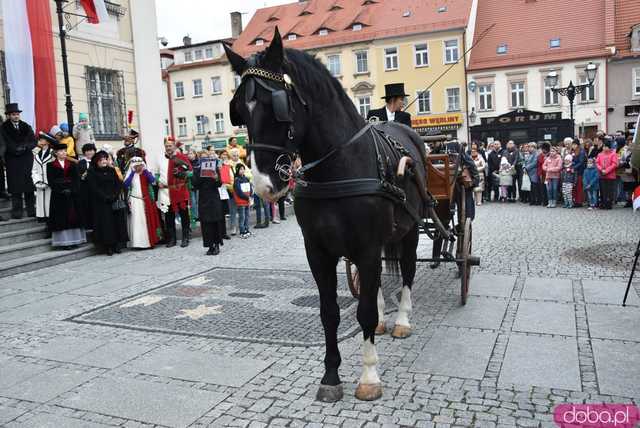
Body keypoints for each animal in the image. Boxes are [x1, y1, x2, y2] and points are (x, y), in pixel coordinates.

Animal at [225, 29, 430, 402]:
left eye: (277, 107)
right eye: (239, 112)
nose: (262, 184)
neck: (337, 167)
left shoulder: (366, 248)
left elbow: (363, 312)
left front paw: (369, 377)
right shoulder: (319, 252)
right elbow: (329, 313)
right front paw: (331, 375)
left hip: (409, 229)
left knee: (407, 271)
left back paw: (402, 321)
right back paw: (385, 319)